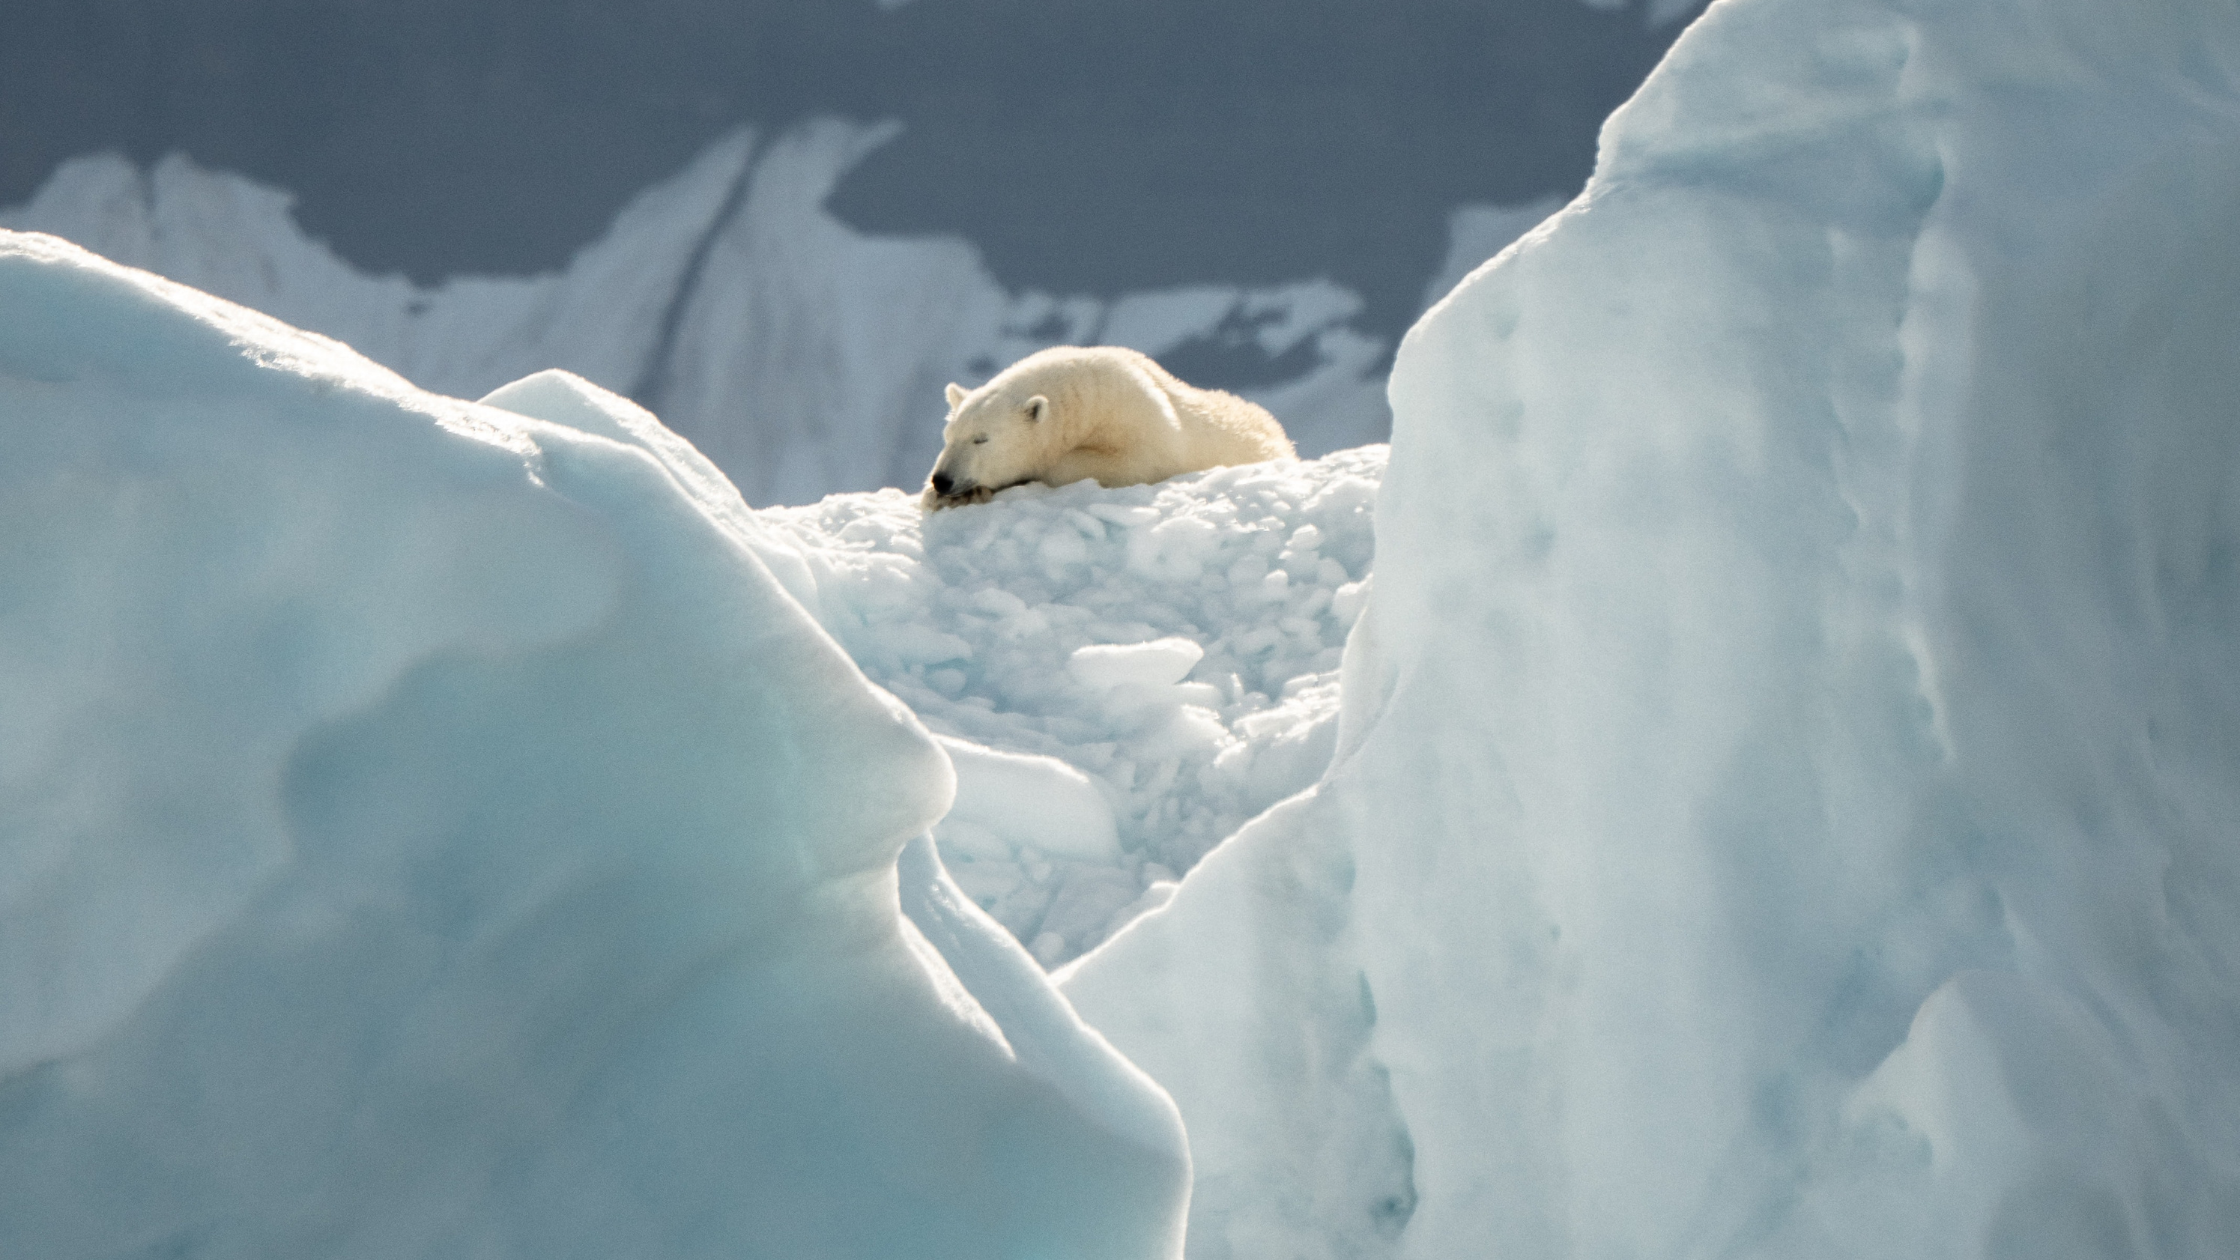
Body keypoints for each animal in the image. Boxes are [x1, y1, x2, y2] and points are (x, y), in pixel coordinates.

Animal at [920, 345, 1296, 509]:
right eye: (948, 437)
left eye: (981, 439)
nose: (943, 480)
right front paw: (938, 495)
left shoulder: (1140, 420)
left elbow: (1133, 463)